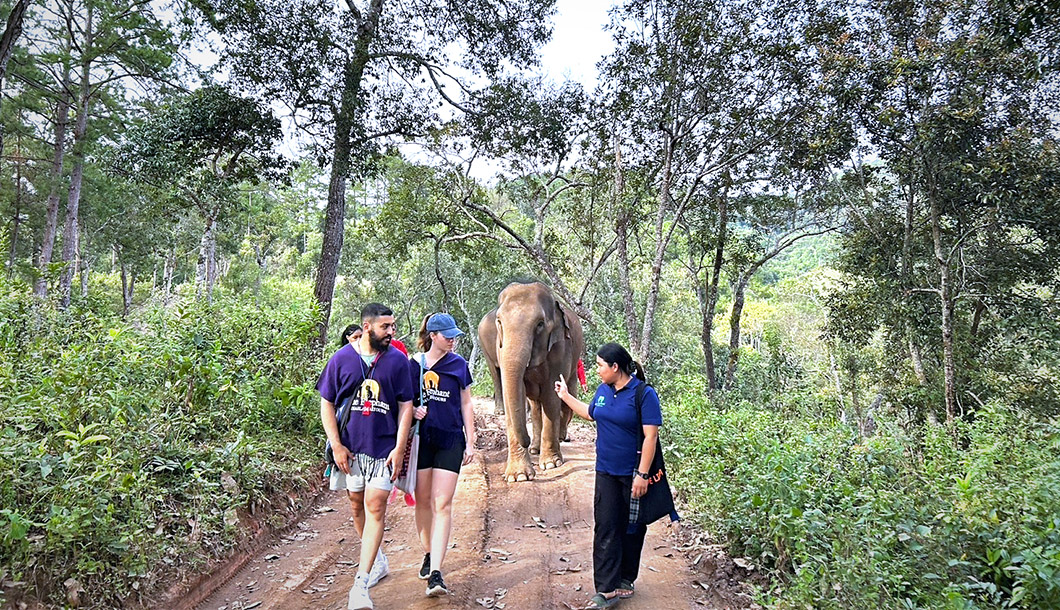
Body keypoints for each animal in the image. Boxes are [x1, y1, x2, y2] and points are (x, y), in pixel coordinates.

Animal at [476, 280, 585, 481]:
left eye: (540, 324)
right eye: (499, 322)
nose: (525, 441)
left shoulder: (560, 347)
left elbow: (551, 394)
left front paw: (550, 464)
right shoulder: (500, 346)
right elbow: (515, 391)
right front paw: (518, 476)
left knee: (565, 397)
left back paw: (555, 440)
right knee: (532, 402)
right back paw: (535, 448)